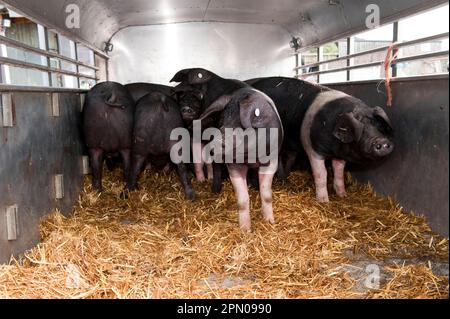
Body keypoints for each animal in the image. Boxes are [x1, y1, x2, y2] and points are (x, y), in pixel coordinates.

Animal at [171, 69, 282, 231]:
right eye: (222, 123)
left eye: (240, 127)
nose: (216, 142)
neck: (250, 155)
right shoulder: (234, 164)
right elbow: (242, 199)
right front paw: (246, 230)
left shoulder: (272, 160)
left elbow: (267, 194)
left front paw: (270, 222)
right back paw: (210, 184)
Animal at [246, 77, 394, 202]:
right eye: (359, 129)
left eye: (379, 125)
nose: (382, 141)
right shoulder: (313, 149)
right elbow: (321, 174)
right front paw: (324, 201)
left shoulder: (339, 155)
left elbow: (339, 172)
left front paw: (342, 195)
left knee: (289, 158)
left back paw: (285, 179)